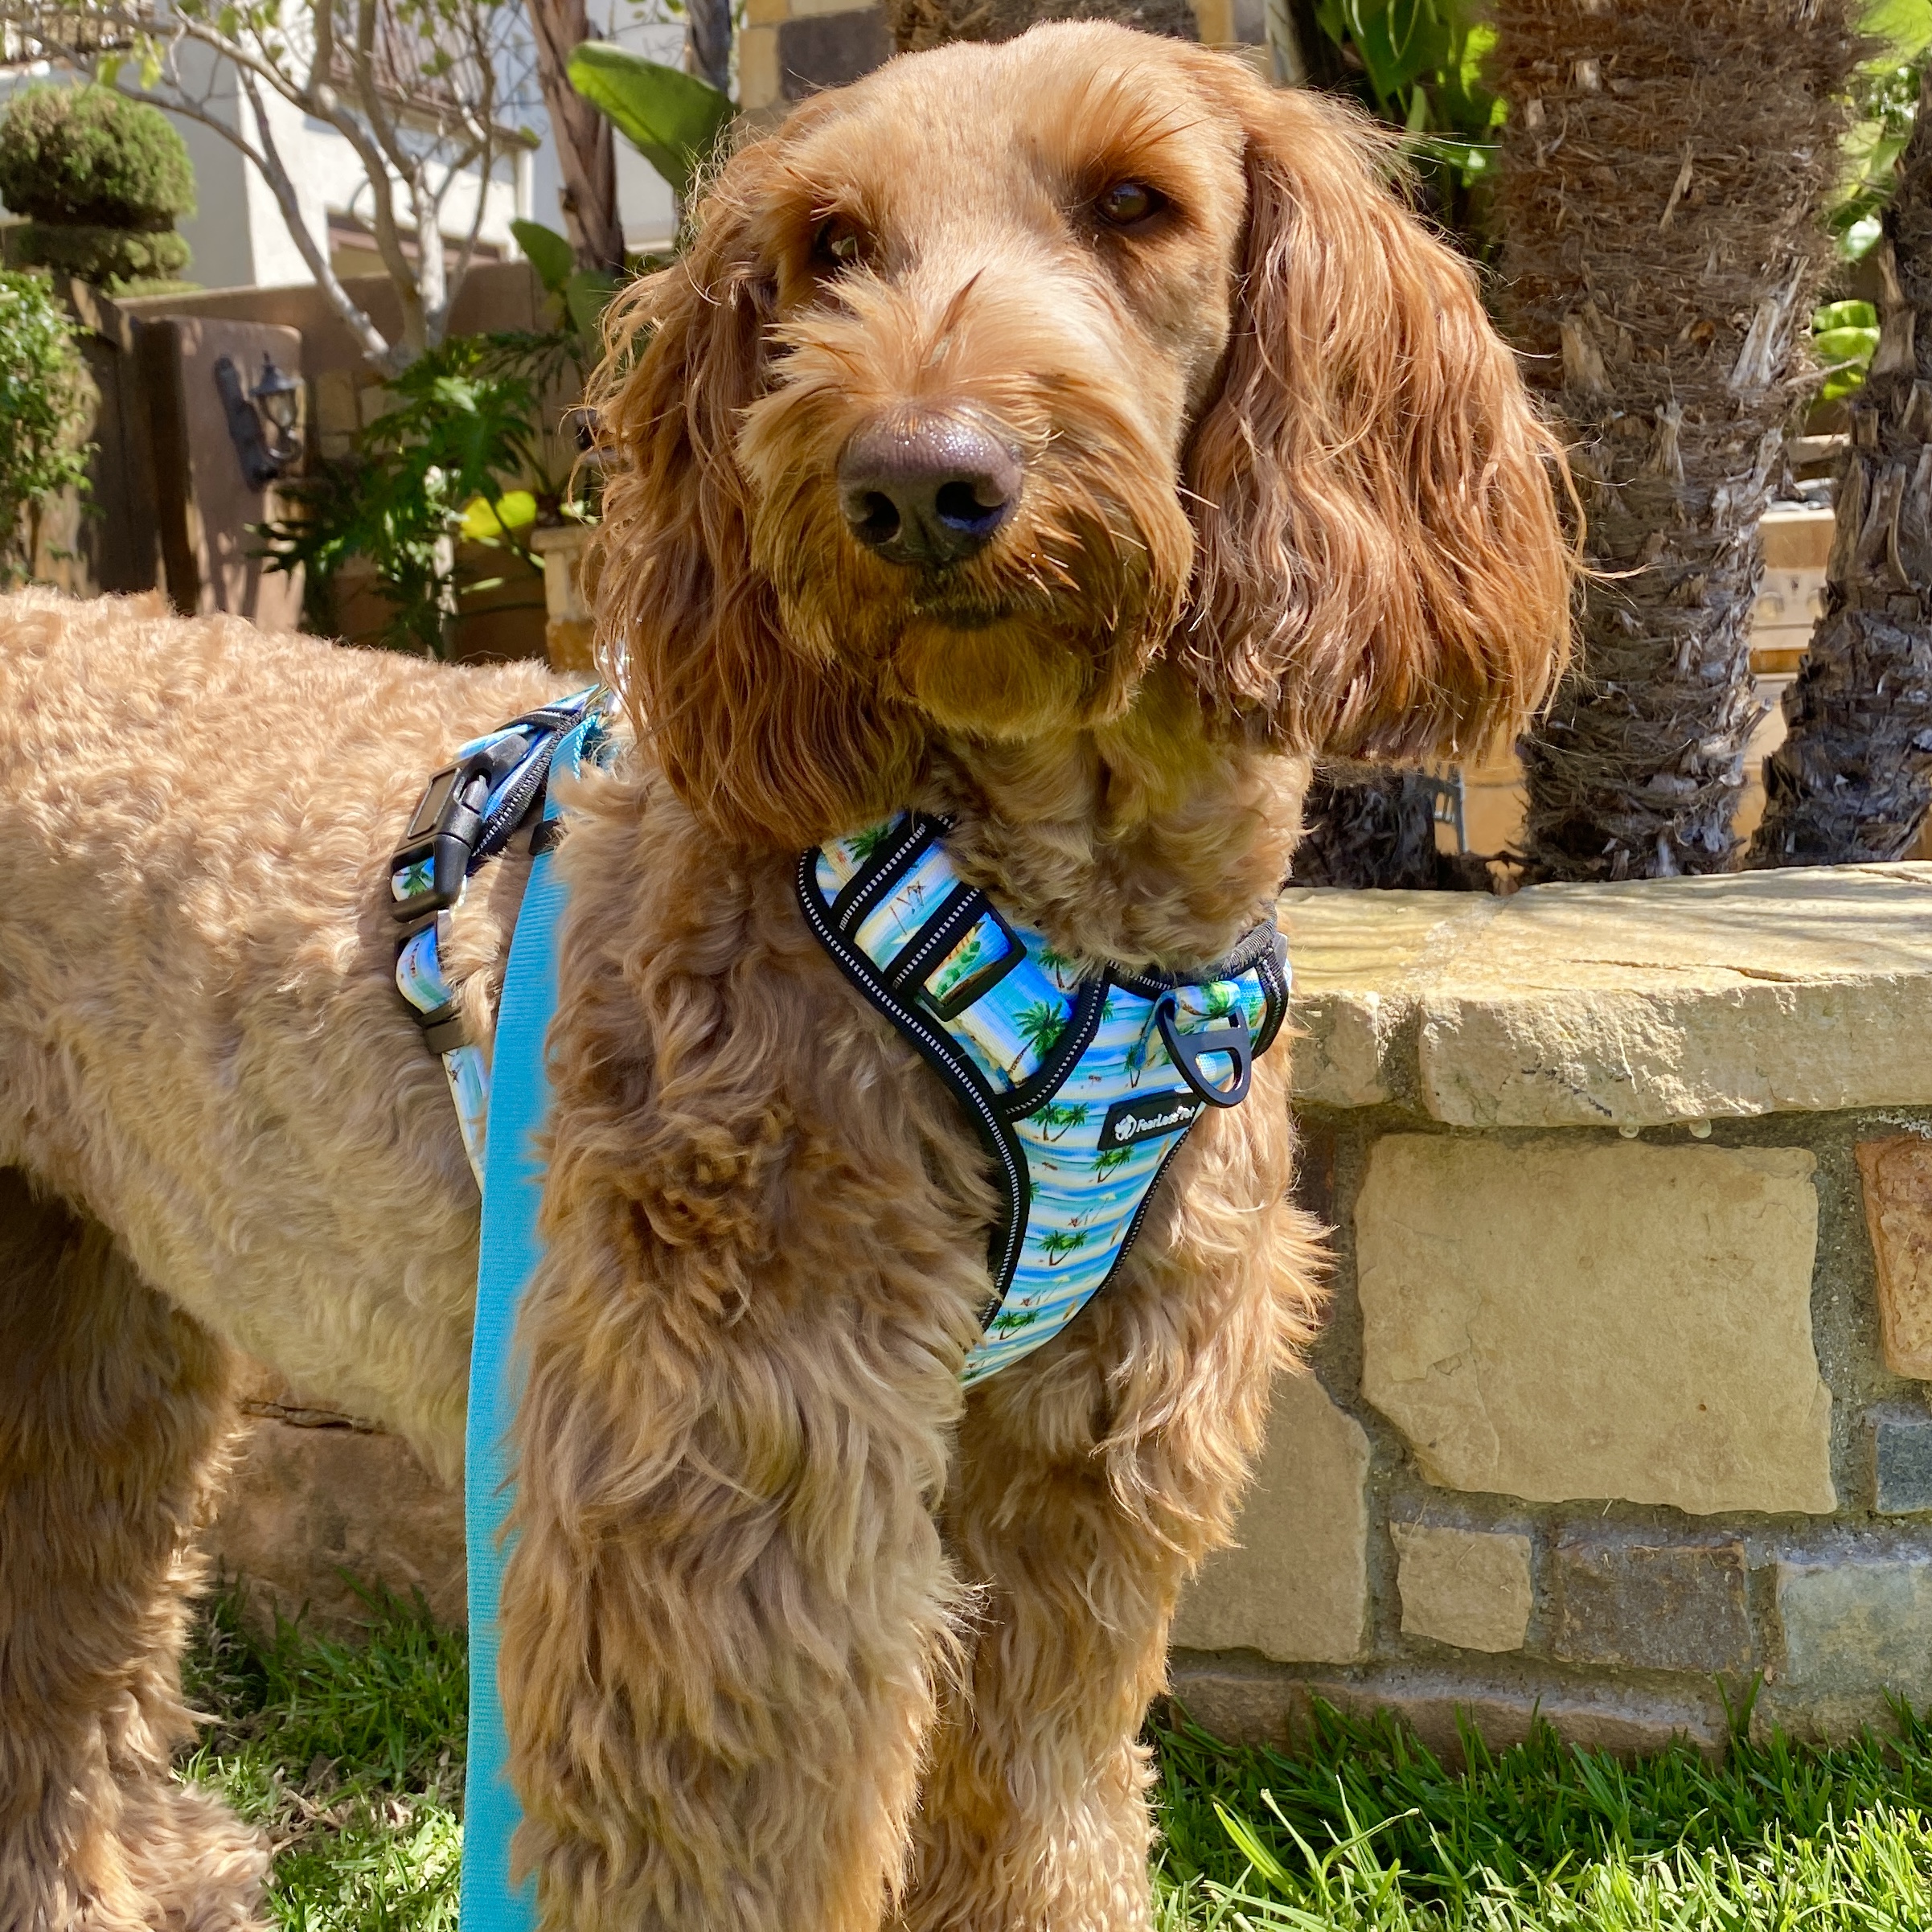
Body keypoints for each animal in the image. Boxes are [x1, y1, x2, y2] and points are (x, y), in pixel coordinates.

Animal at [0, 18, 1569, 1932]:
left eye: (1136, 203)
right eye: (831, 245)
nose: (915, 479)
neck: (1029, 911)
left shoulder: (1084, 1467)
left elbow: (1041, 1807)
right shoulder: (725, 1492)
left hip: (96, 1310)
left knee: (62, 1604)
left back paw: (122, 1871)